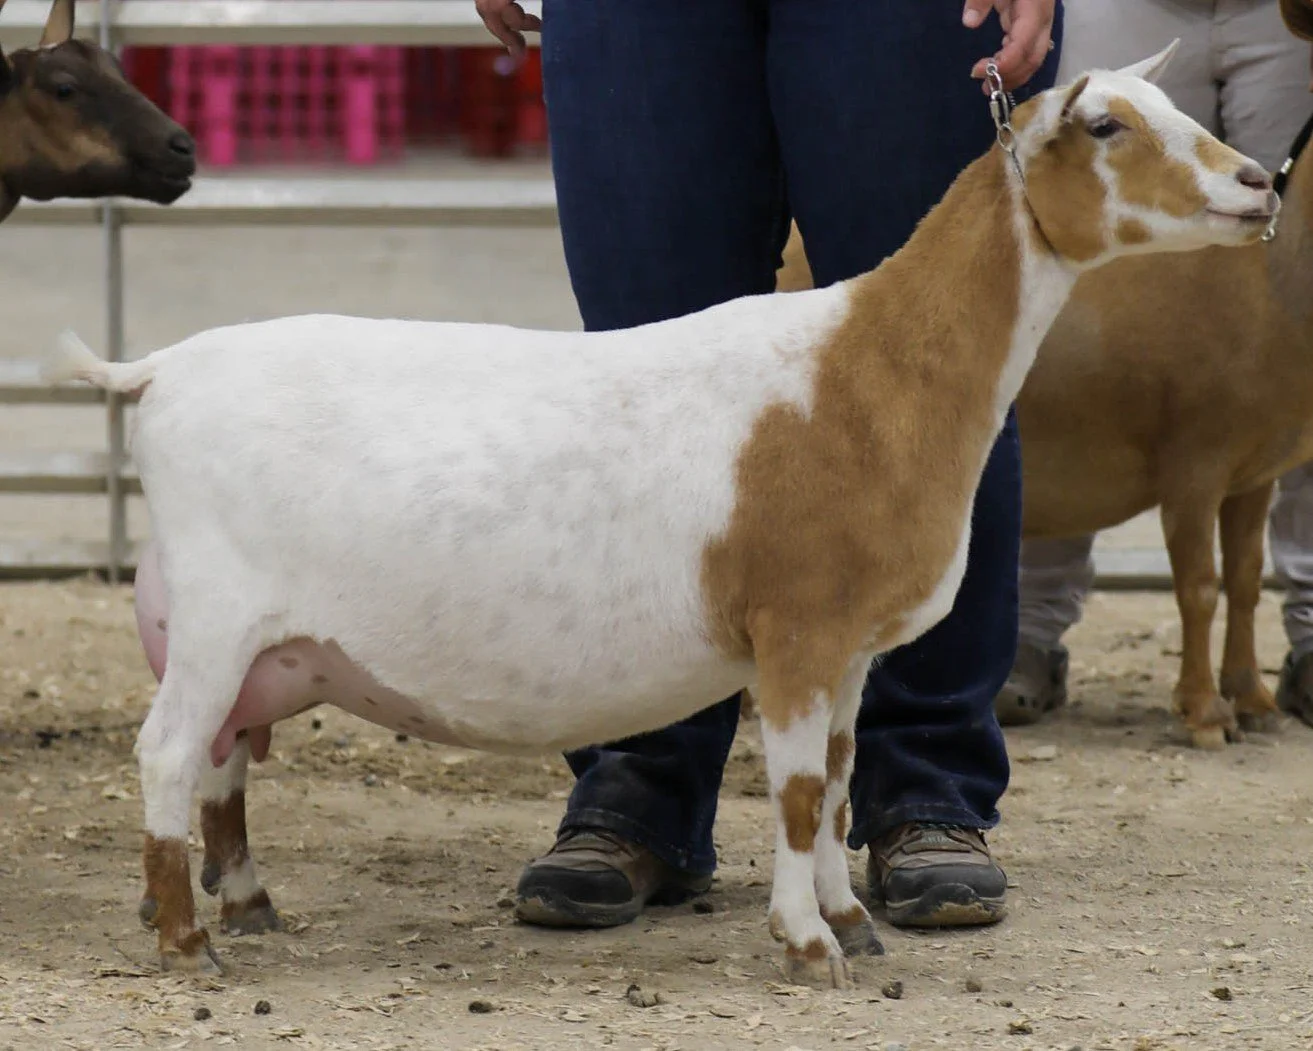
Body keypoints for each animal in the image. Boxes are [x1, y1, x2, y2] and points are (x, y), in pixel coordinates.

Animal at [48, 44, 1276, 988]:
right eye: (1108, 126)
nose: (1260, 182)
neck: (870, 368)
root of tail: (160, 368)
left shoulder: (848, 651)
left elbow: (838, 786)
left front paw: (852, 921)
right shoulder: (795, 630)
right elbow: (794, 795)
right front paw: (805, 947)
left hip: (255, 642)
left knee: (220, 759)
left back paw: (247, 904)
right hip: (219, 613)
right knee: (167, 754)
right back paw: (187, 942)